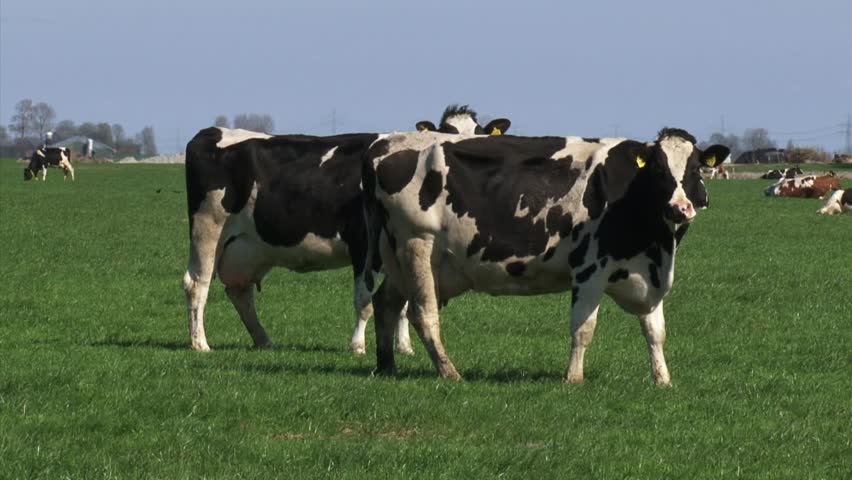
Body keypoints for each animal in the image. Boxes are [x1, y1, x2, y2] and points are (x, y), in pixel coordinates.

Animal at [183, 105, 510, 354]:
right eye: (447, 135)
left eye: (481, 135)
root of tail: (210, 132)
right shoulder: (362, 243)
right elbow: (364, 300)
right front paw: (357, 346)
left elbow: (406, 299)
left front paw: (405, 347)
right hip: (207, 227)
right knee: (197, 283)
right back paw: (200, 344)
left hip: (247, 247)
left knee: (240, 291)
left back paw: (264, 341)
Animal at [363, 128, 729, 386]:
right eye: (657, 170)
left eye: (695, 168)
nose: (680, 208)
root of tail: (384, 144)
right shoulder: (590, 270)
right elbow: (583, 328)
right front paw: (573, 378)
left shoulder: (650, 272)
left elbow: (655, 331)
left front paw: (662, 379)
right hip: (417, 244)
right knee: (423, 315)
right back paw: (449, 372)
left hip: (397, 255)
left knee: (385, 303)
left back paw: (386, 365)